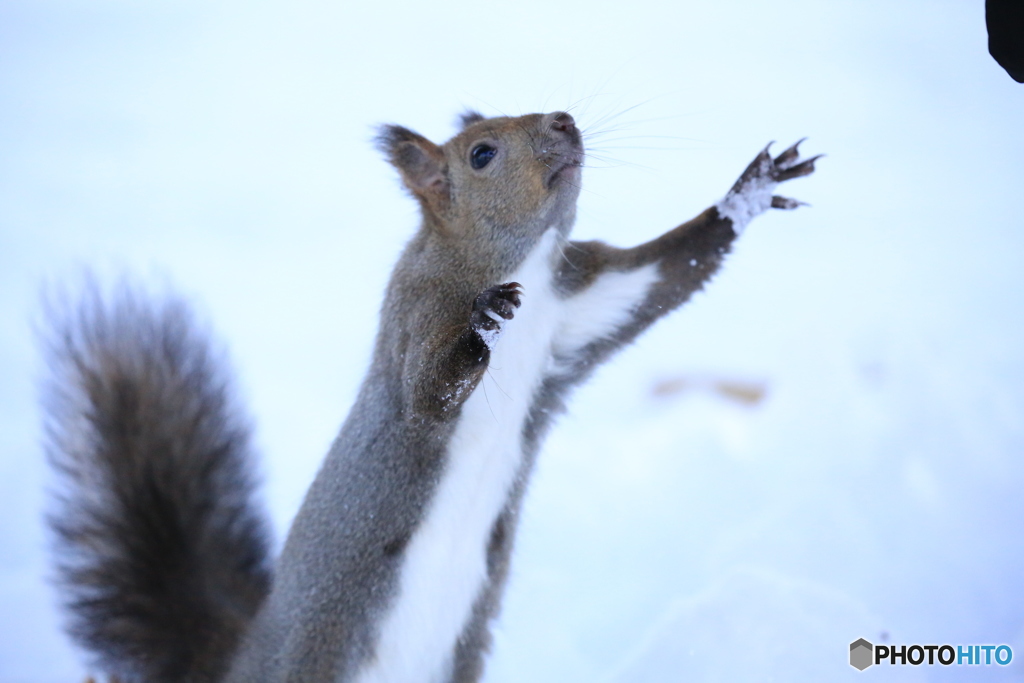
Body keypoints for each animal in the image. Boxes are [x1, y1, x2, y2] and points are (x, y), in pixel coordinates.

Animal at [44, 109, 819, 679]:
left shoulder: (578, 308)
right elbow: (428, 393)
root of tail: (238, 663)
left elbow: (665, 278)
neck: (521, 266)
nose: (565, 120)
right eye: (481, 154)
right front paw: (482, 322)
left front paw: (747, 192)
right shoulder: (415, 319)